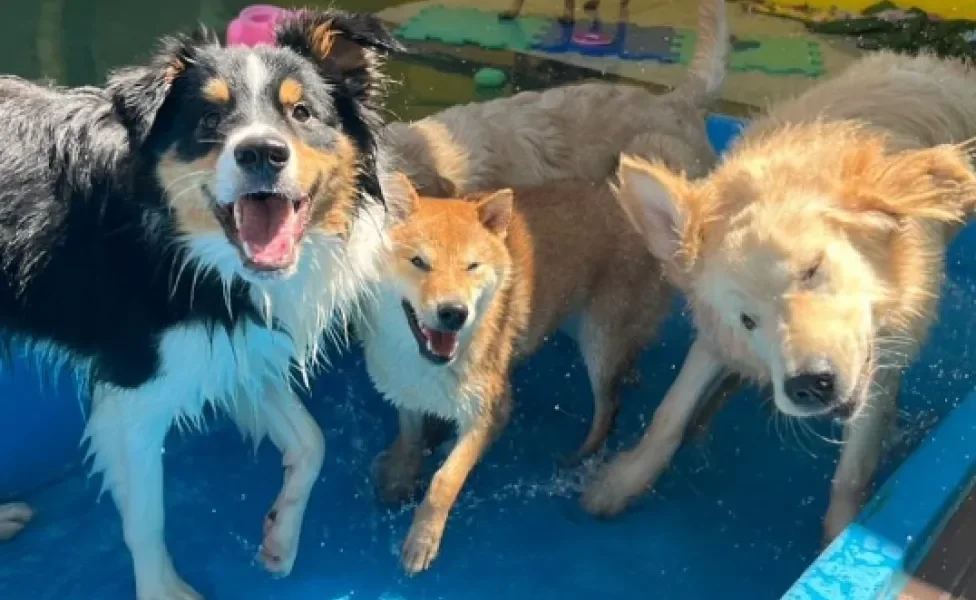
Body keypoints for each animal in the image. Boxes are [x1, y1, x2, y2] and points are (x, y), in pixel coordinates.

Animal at [0, 9, 404, 600]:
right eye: (210, 118)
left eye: (302, 112)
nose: (261, 152)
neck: (189, 248)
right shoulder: (134, 393)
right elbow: (147, 518)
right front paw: (163, 588)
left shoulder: (233, 347)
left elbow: (312, 441)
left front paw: (280, 538)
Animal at [358, 175, 672, 576]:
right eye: (419, 262)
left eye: (472, 266)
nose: (454, 313)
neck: (426, 363)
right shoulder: (405, 389)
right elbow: (412, 437)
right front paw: (400, 475)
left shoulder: (493, 411)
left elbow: (444, 481)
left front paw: (422, 541)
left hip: (600, 338)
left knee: (609, 407)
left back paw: (578, 457)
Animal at [584, 50, 976, 540]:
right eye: (748, 320)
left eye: (813, 270)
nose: (809, 386)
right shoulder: (717, 338)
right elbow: (669, 413)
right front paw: (622, 481)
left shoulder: (882, 363)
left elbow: (851, 475)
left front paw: (839, 542)